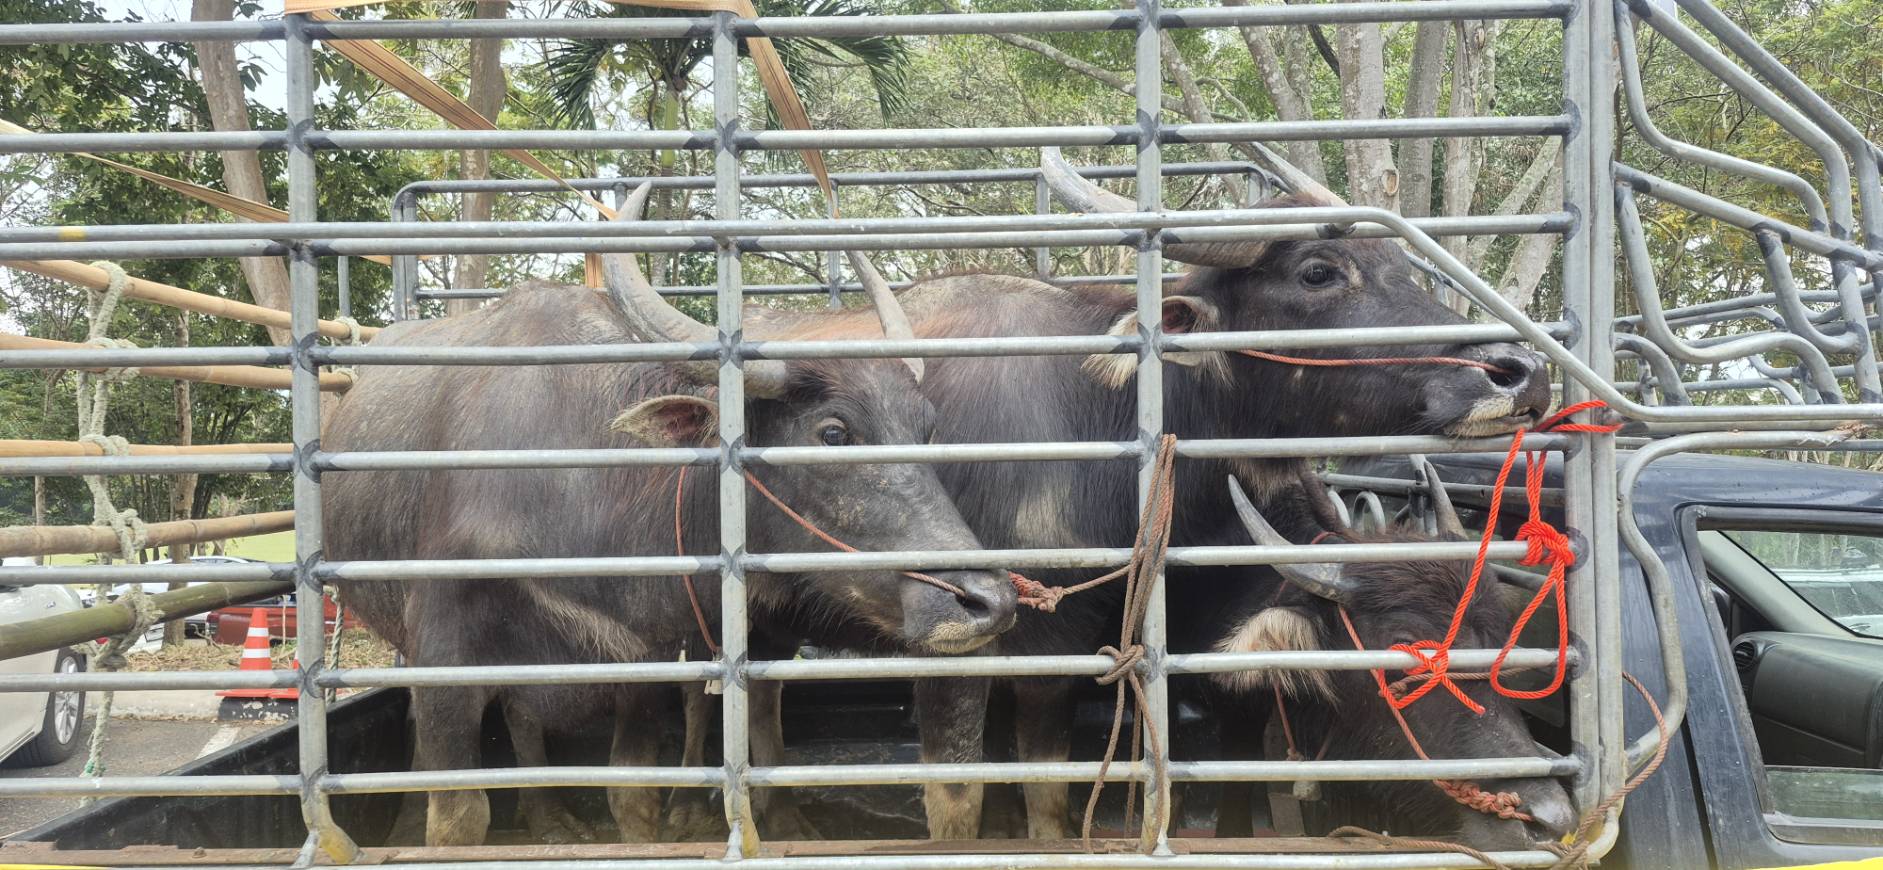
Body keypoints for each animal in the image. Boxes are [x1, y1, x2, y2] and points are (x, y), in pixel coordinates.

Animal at [322, 183, 1017, 846]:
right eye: (833, 433)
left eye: (925, 430)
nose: (986, 602)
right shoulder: (444, 665)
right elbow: (458, 816)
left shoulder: (641, 662)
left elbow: (631, 799)